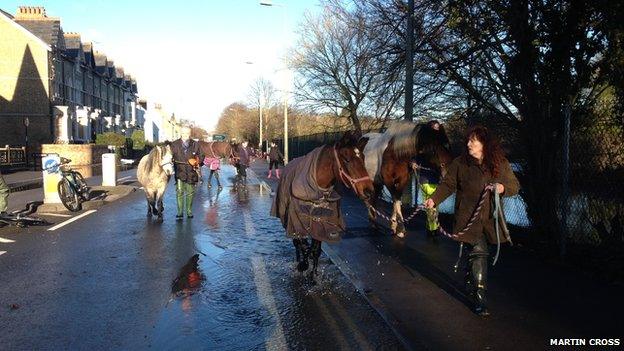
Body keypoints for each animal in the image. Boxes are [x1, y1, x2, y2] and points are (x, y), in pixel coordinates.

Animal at [270, 131, 376, 284]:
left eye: (363, 158)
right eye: (346, 159)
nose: (369, 191)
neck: (316, 189)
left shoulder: (321, 221)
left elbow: (315, 249)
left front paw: (313, 275)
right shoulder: (296, 220)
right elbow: (301, 243)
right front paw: (303, 265)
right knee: (296, 243)